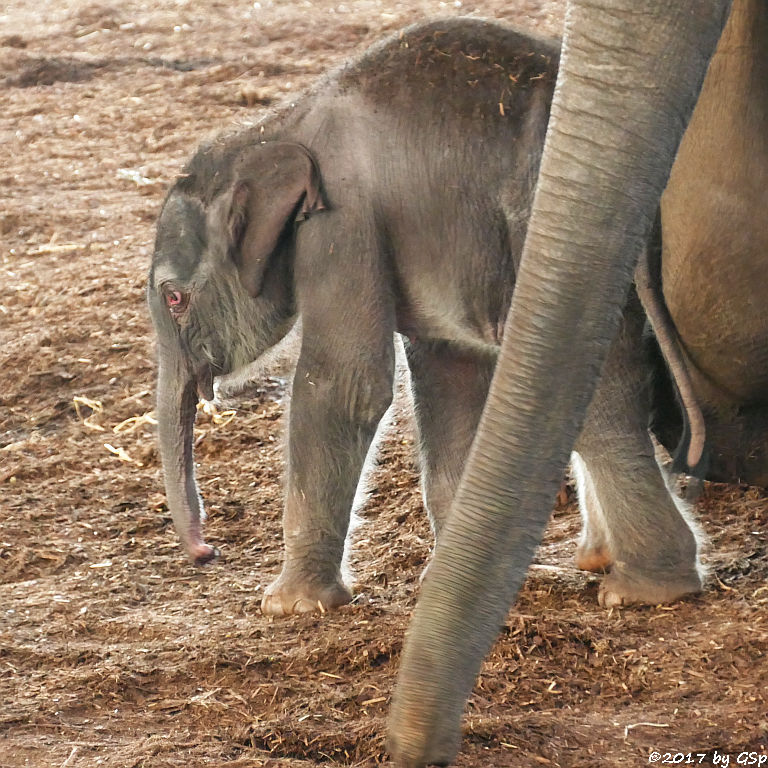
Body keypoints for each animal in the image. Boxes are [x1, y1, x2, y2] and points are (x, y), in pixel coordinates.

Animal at [150, 18, 560, 616]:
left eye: (174, 298)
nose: (209, 553)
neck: (276, 126)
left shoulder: (341, 222)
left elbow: (341, 386)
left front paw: (291, 607)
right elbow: (450, 375)